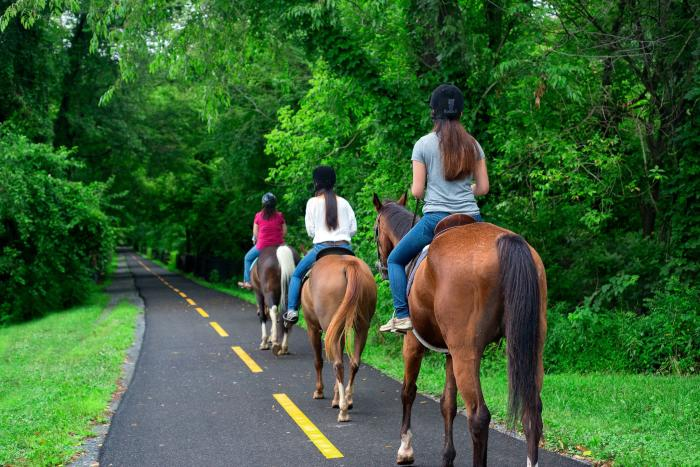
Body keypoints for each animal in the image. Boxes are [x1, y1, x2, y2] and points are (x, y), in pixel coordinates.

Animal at [300, 252, 378, 424]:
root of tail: (349, 265)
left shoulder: (312, 328)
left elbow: (318, 361)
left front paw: (319, 391)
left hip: (330, 327)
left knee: (338, 365)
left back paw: (343, 410)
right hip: (362, 327)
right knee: (354, 363)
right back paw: (347, 400)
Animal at [372, 193, 548, 467]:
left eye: (375, 229)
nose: (380, 266)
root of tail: (506, 242)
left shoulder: (412, 343)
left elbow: (408, 391)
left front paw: (405, 449)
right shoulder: (449, 354)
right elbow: (447, 403)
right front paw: (447, 456)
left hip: (466, 352)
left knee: (478, 416)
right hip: (531, 349)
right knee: (532, 413)